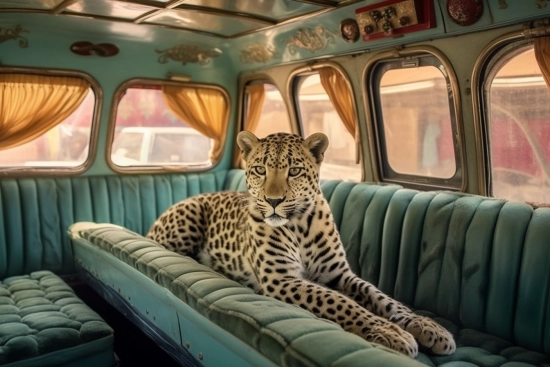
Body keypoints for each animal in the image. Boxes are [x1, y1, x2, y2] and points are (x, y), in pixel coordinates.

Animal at [147, 131, 458, 358]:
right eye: (259, 169)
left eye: (294, 171)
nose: (273, 201)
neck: (298, 226)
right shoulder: (281, 279)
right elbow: (339, 301)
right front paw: (390, 333)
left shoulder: (339, 274)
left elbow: (380, 296)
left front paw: (427, 326)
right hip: (189, 217)